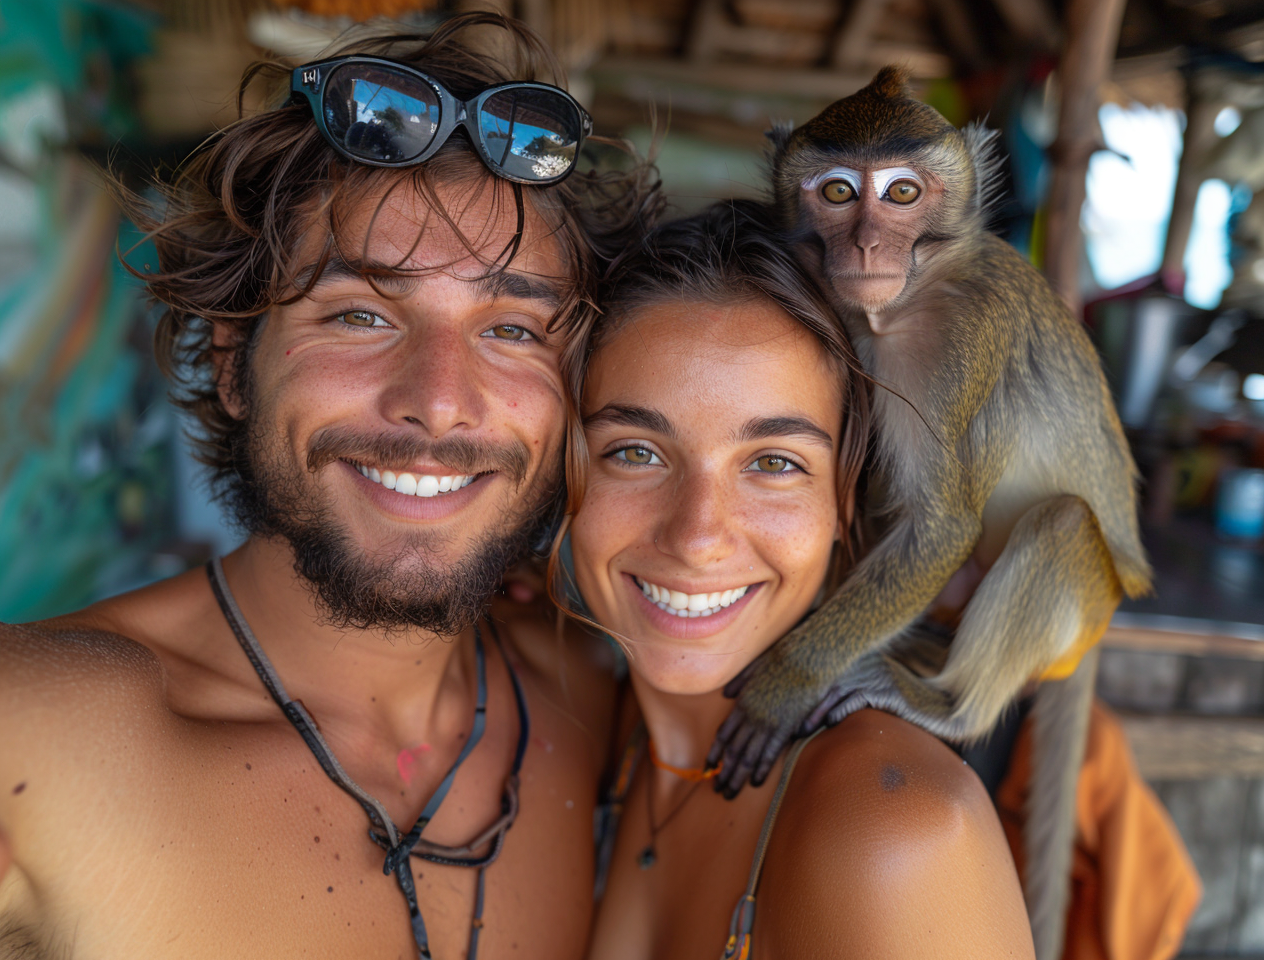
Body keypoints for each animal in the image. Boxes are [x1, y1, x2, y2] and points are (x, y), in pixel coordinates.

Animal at [712, 67, 1157, 960]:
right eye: (838, 192)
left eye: (903, 193)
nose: (864, 248)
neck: (913, 296)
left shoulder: (963, 344)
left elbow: (942, 526)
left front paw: (785, 680)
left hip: (1084, 600)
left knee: (1059, 524)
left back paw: (947, 708)